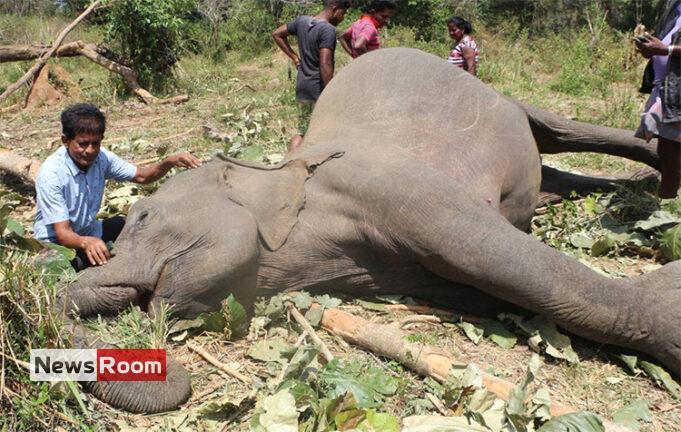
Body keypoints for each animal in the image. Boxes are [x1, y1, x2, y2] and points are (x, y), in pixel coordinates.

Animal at [58, 48, 678, 414]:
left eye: (142, 218)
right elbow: (484, 287)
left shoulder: (381, 181)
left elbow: (494, 254)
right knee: (551, 171)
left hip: (494, 93)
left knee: (556, 128)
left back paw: (662, 173)